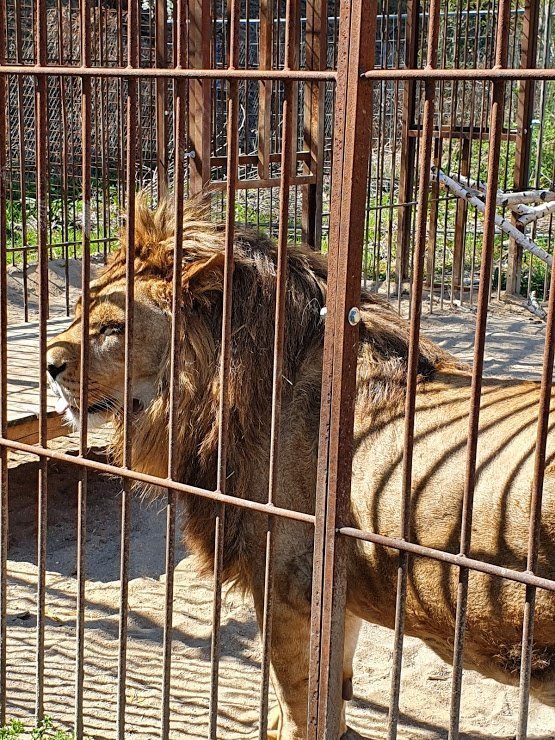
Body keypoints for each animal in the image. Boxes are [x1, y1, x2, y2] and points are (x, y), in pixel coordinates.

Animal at [47, 198, 555, 740]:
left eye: (112, 328)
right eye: (76, 314)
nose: (48, 364)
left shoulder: (288, 583)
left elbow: (296, 694)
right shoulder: (337, 585)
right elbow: (331, 684)